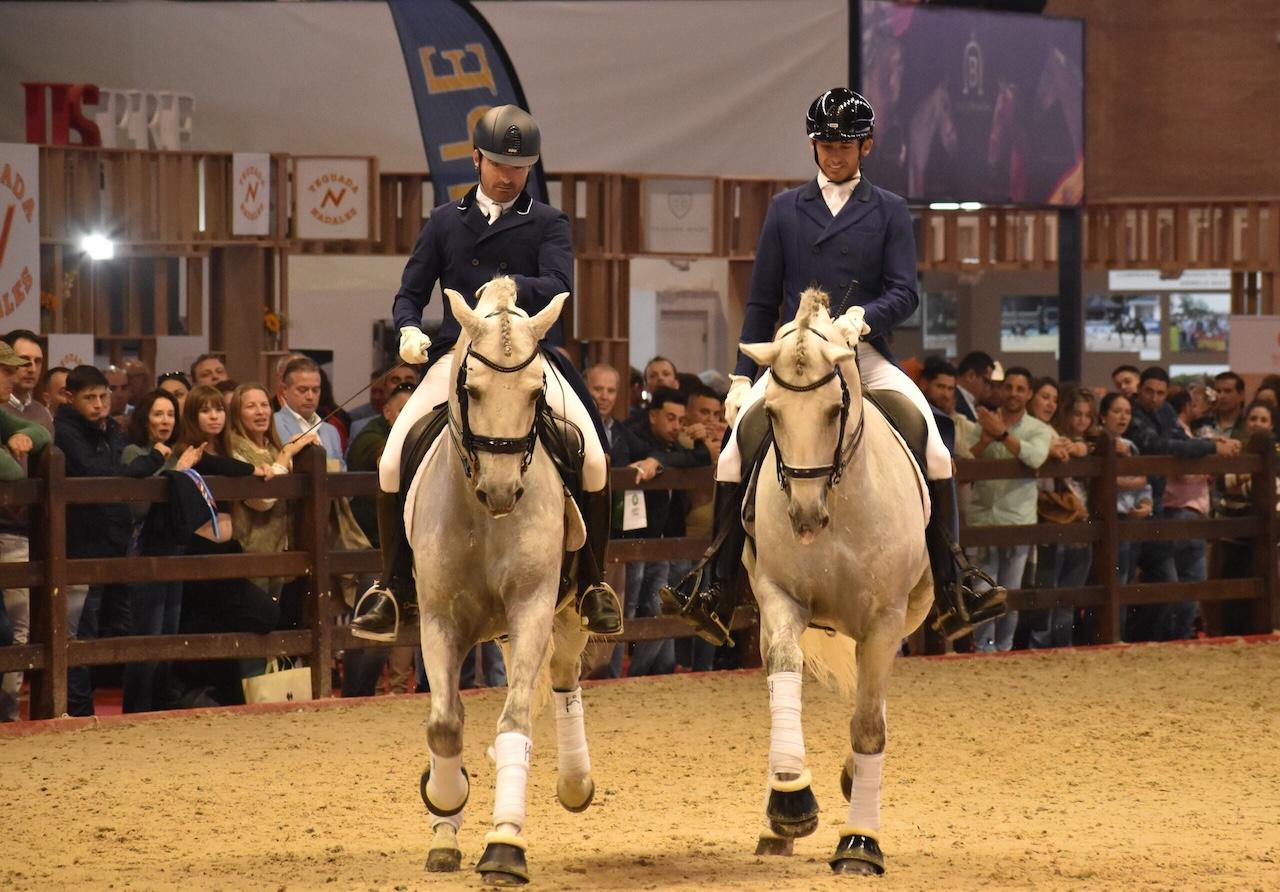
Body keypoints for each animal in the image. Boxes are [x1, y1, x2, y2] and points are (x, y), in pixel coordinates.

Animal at [409, 278, 599, 885]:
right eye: (471, 387)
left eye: (538, 391)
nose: (500, 491)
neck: (483, 518)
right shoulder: (439, 619)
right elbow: (445, 725)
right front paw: (446, 802)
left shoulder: (533, 607)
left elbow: (514, 722)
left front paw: (505, 845)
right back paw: (444, 836)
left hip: (566, 612)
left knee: (563, 676)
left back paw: (575, 782)